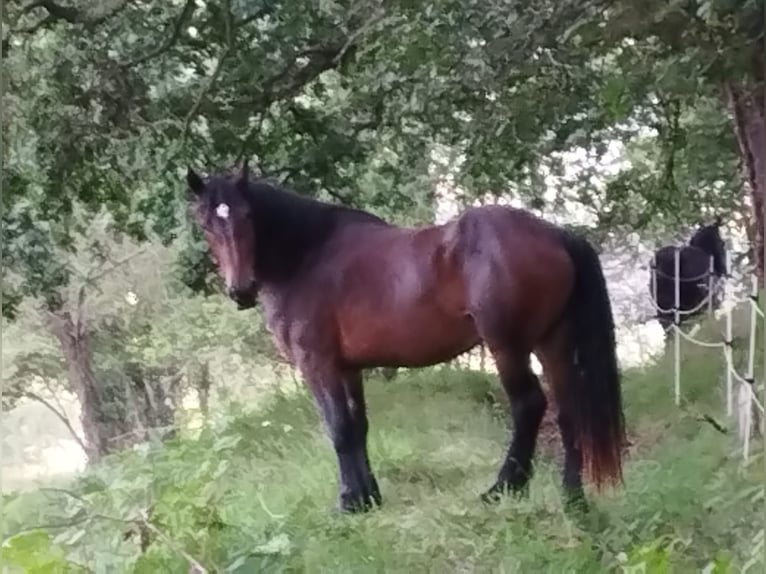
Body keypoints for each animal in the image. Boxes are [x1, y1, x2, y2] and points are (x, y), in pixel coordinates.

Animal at [186, 162, 626, 514]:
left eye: (246, 216)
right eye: (206, 224)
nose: (241, 290)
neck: (306, 256)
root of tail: (555, 234)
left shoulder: (317, 364)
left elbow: (338, 429)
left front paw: (348, 502)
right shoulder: (348, 368)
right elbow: (357, 426)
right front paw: (368, 497)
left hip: (508, 346)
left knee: (529, 405)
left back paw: (504, 487)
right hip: (552, 342)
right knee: (569, 410)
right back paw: (572, 497)